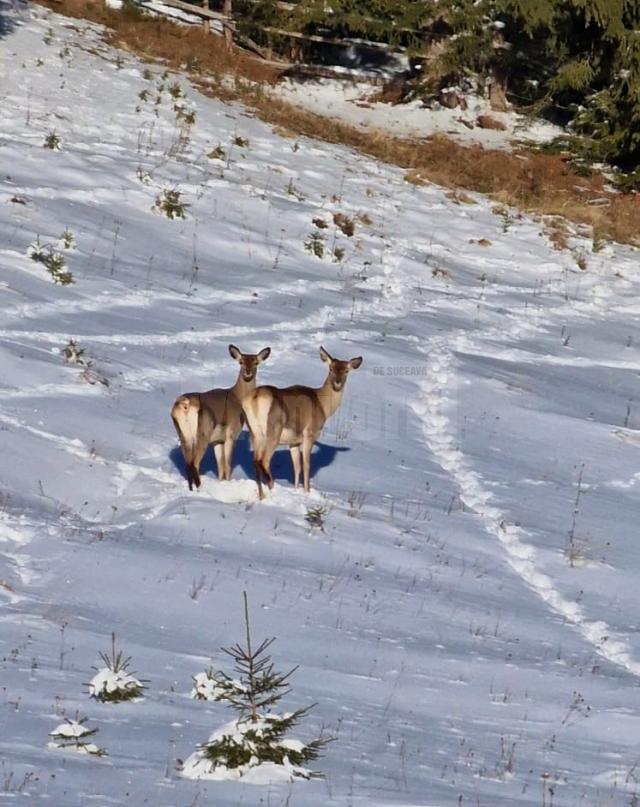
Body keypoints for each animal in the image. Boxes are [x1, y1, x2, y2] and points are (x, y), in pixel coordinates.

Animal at [170, 342, 270, 490]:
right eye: (241, 362)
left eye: (256, 362)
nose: (247, 372)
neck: (238, 397)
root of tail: (184, 404)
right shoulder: (231, 434)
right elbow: (227, 465)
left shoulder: (217, 441)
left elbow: (220, 466)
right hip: (203, 432)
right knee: (195, 463)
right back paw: (200, 488)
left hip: (183, 435)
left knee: (188, 464)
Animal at [241, 346, 360, 498]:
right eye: (331, 369)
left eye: (346, 371)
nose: (338, 383)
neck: (323, 405)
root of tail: (255, 398)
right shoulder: (309, 433)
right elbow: (306, 465)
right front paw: (307, 492)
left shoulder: (294, 441)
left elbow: (296, 467)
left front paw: (296, 491)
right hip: (274, 430)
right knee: (264, 460)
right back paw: (272, 488)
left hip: (255, 432)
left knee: (256, 461)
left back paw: (262, 496)